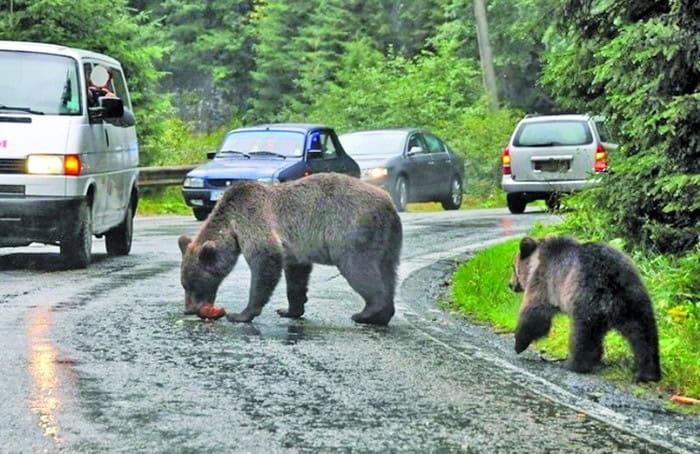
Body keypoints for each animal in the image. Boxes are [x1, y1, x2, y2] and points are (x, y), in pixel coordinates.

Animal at [178, 172, 402, 324]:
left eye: (194, 284)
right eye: (184, 285)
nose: (189, 309)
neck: (231, 224)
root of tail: (389, 203)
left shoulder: (253, 218)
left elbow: (265, 259)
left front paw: (241, 314)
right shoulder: (295, 249)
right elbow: (296, 276)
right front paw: (289, 310)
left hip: (351, 231)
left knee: (359, 269)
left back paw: (367, 312)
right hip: (387, 241)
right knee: (388, 272)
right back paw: (382, 315)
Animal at [508, 236, 660, 382]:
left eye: (513, 268)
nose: (510, 285)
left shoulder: (544, 281)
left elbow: (534, 313)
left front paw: (519, 344)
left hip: (585, 302)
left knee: (583, 337)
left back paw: (574, 364)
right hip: (635, 300)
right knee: (643, 335)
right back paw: (648, 373)